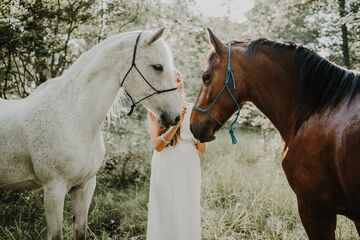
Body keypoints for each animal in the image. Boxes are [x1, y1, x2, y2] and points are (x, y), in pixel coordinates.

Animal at [0, 27, 181, 239]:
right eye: (158, 67)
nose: (177, 116)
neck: (74, 115)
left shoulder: (85, 187)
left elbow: (80, 231)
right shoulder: (54, 189)